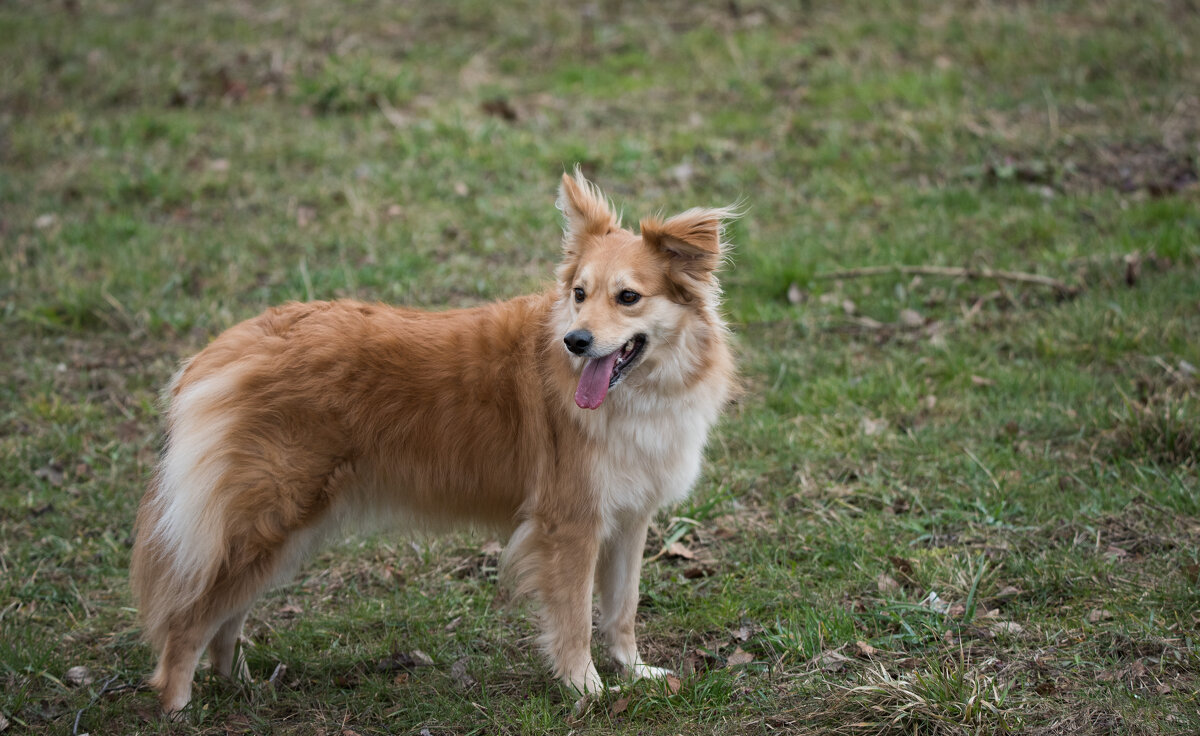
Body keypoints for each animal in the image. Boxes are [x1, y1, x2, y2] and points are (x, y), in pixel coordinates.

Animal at [126, 170, 734, 710]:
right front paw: (585, 689)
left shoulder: (629, 519)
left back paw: (242, 686)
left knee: (226, 619)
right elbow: (575, 620)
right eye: (580, 294)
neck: (638, 392)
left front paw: (634, 673)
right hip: (266, 522)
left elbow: (622, 609)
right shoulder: (571, 526)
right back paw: (179, 705)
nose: (575, 341)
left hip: (281, 533)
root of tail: (231, 346)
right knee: (189, 620)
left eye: (628, 297)